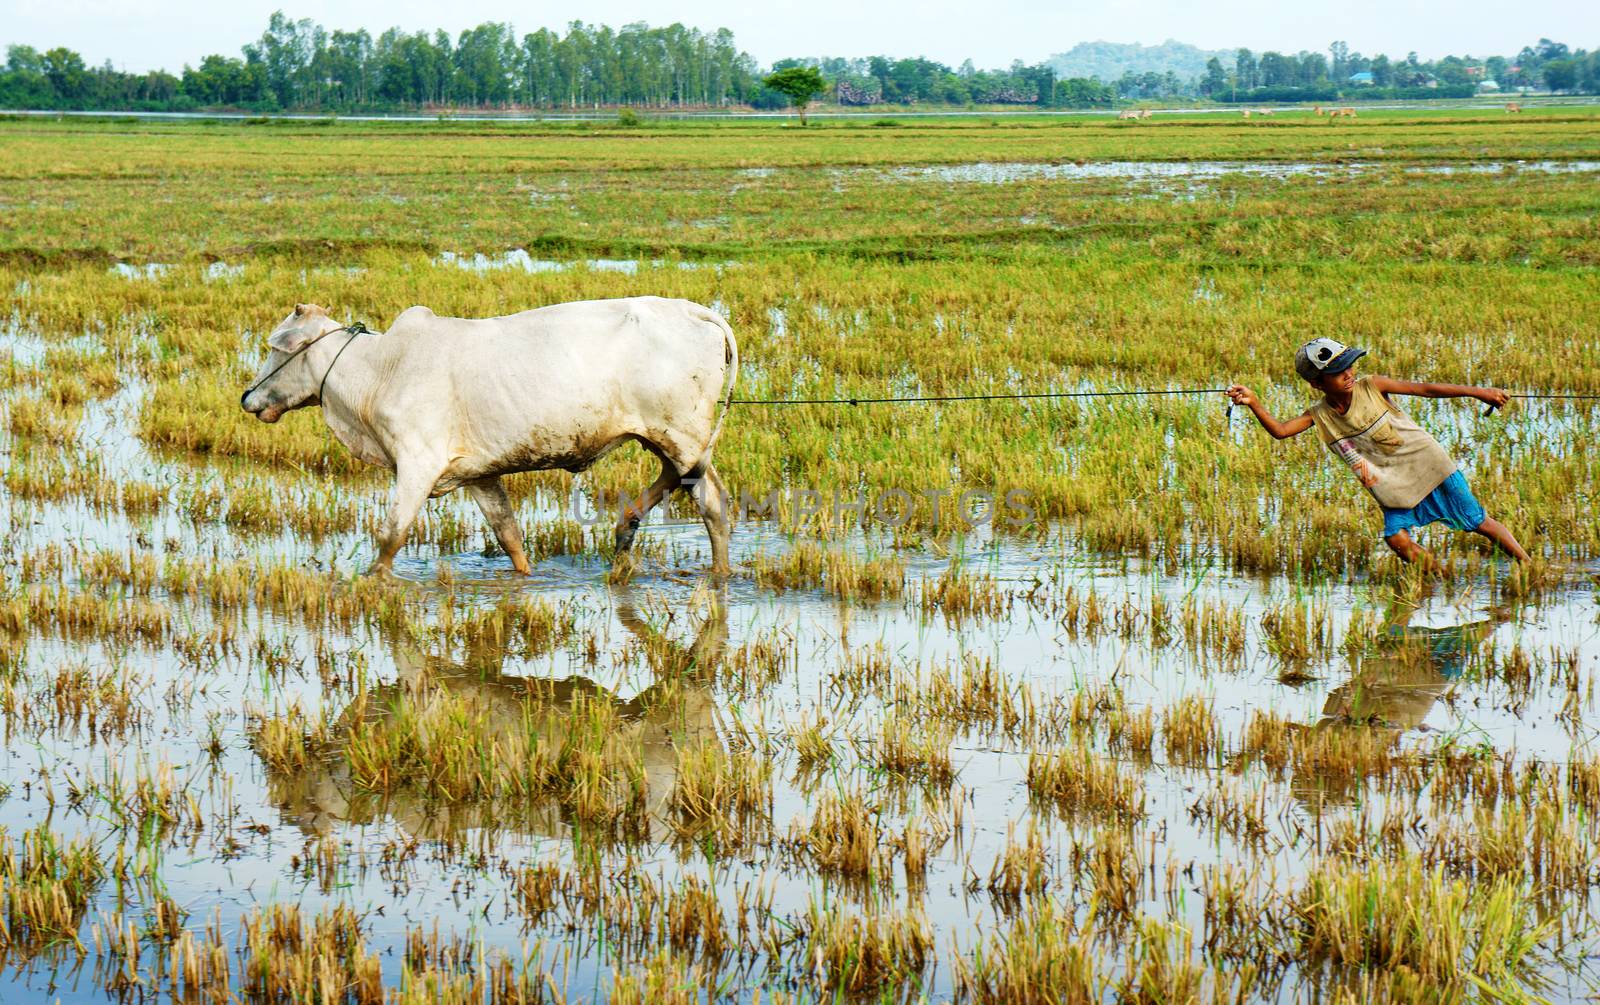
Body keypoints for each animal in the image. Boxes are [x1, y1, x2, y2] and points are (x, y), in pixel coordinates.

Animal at [240, 296, 739, 572]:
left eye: (273, 348)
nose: (247, 397)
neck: (379, 369)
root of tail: (695, 311)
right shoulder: (479, 475)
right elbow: (510, 537)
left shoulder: (417, 466)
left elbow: (390, 538)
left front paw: (370, 585)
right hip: (662, 438)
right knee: (673, 481)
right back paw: (624, 530)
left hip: (681, 435)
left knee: (712, 504)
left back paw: (718, 576)